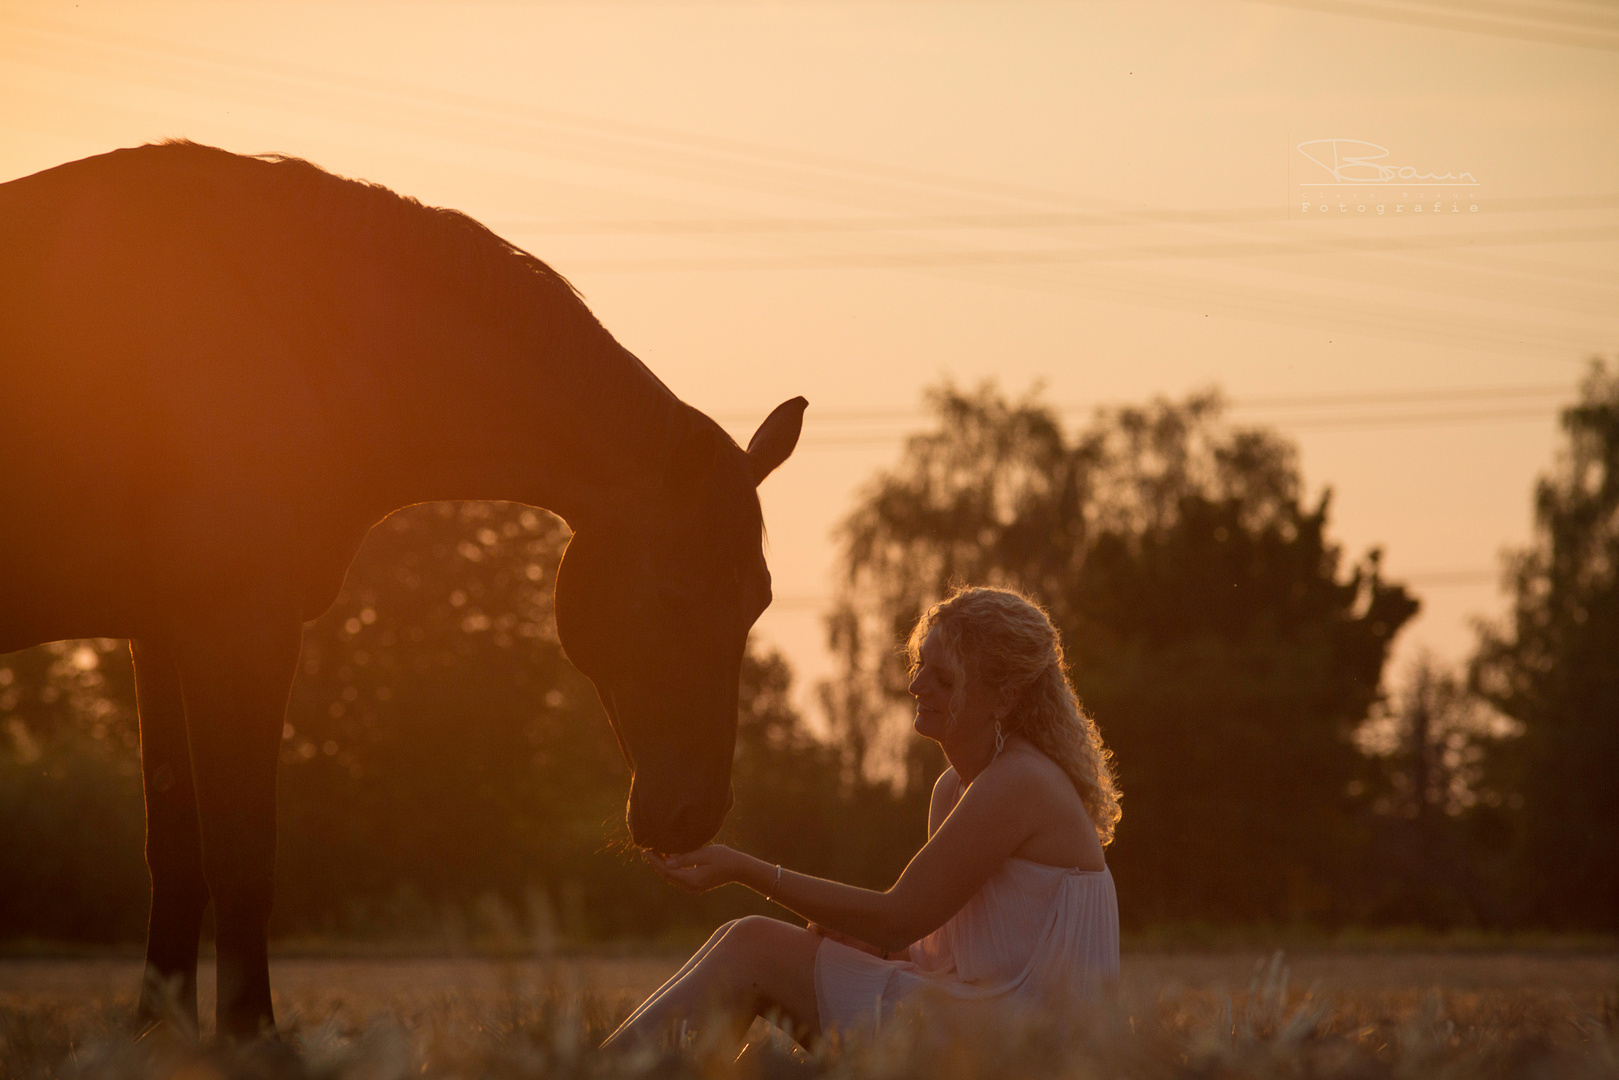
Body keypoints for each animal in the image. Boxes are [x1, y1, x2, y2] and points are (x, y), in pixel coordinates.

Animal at [0, 139, 806, 1042]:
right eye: (673, 594)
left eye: (757, 601)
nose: (693, 816)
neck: (290, 333)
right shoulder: (237, 629)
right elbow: (242, 857)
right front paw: (250, 1035)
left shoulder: (163, 635)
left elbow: (174, 854)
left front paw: (158, 1036)